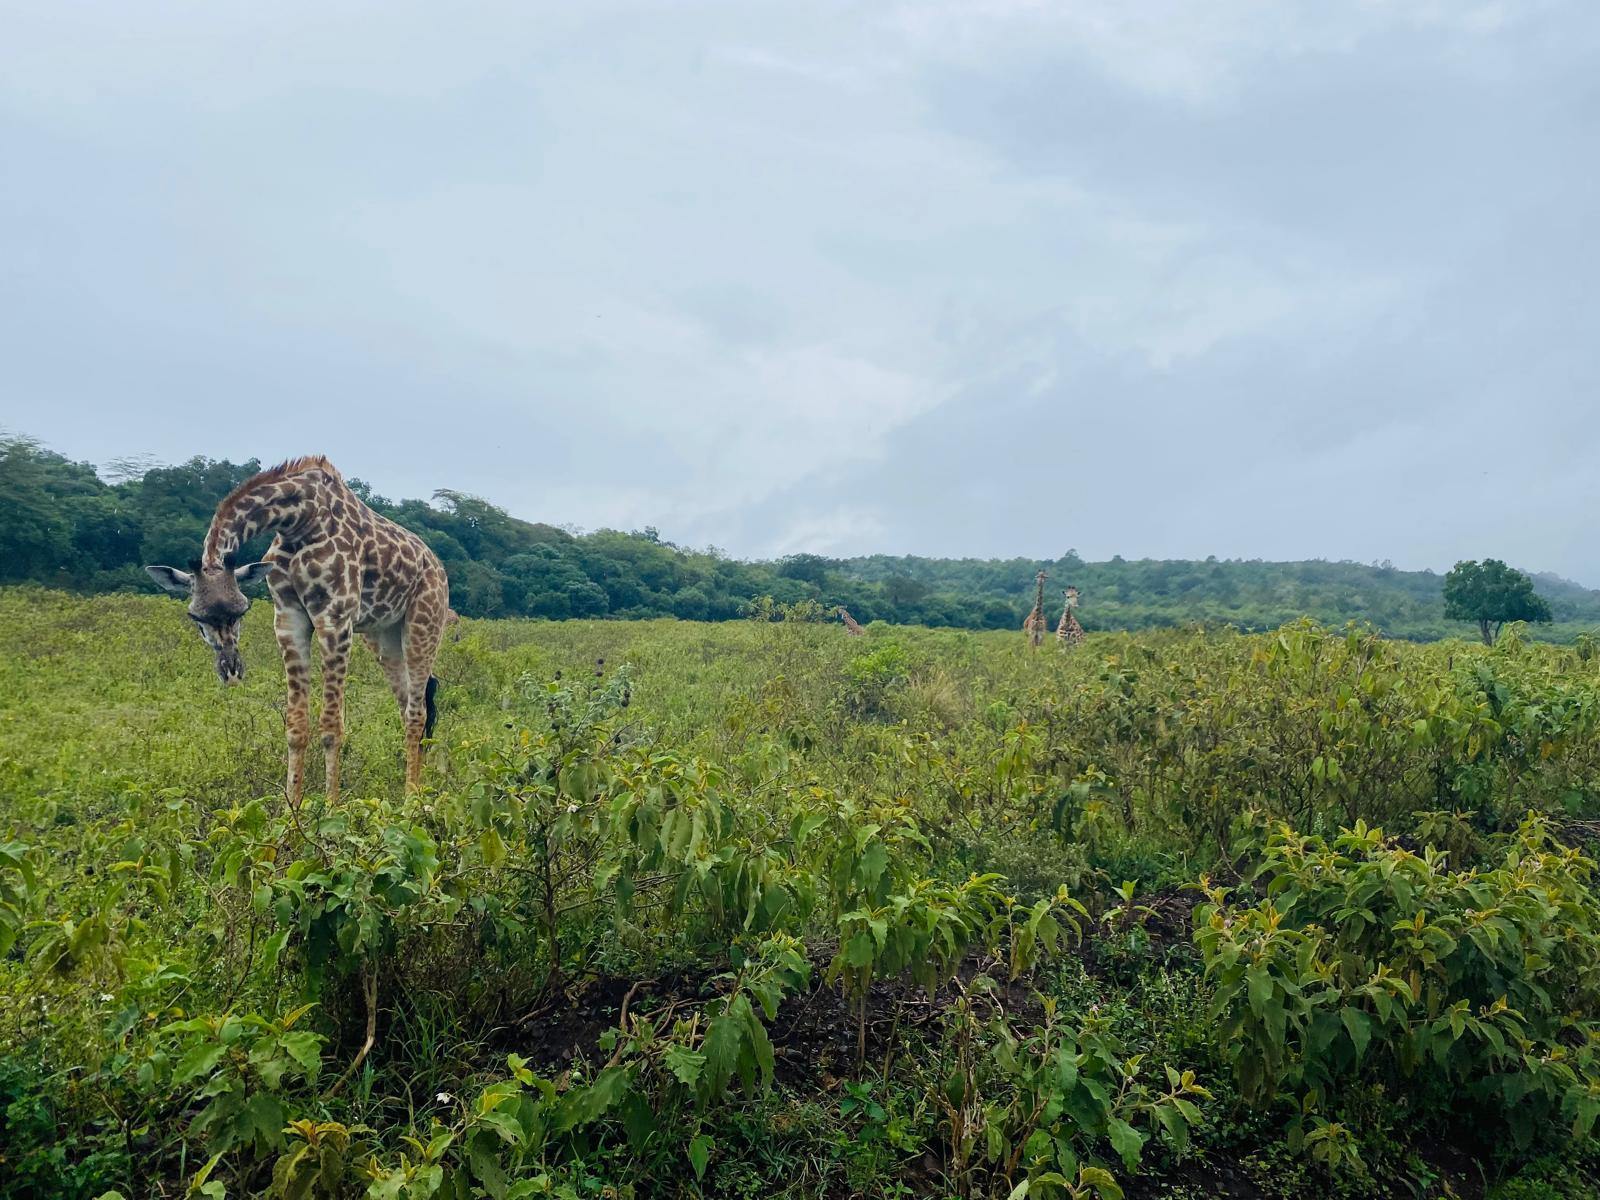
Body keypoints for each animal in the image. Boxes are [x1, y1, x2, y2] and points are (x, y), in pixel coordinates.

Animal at [145, 456, 453, 807]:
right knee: (409, 707)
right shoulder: (288, 618)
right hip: (383, 637)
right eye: (195, 616)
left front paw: (332, 808)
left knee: (417, 713)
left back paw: (412, 802)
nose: (232, 671)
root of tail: (438, 567)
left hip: (424, 623)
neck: (296, 520)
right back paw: (417, 790)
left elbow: (331, 726)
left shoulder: (334, 616)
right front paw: (291, 807)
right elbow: (295, 727)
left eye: (242, 610)